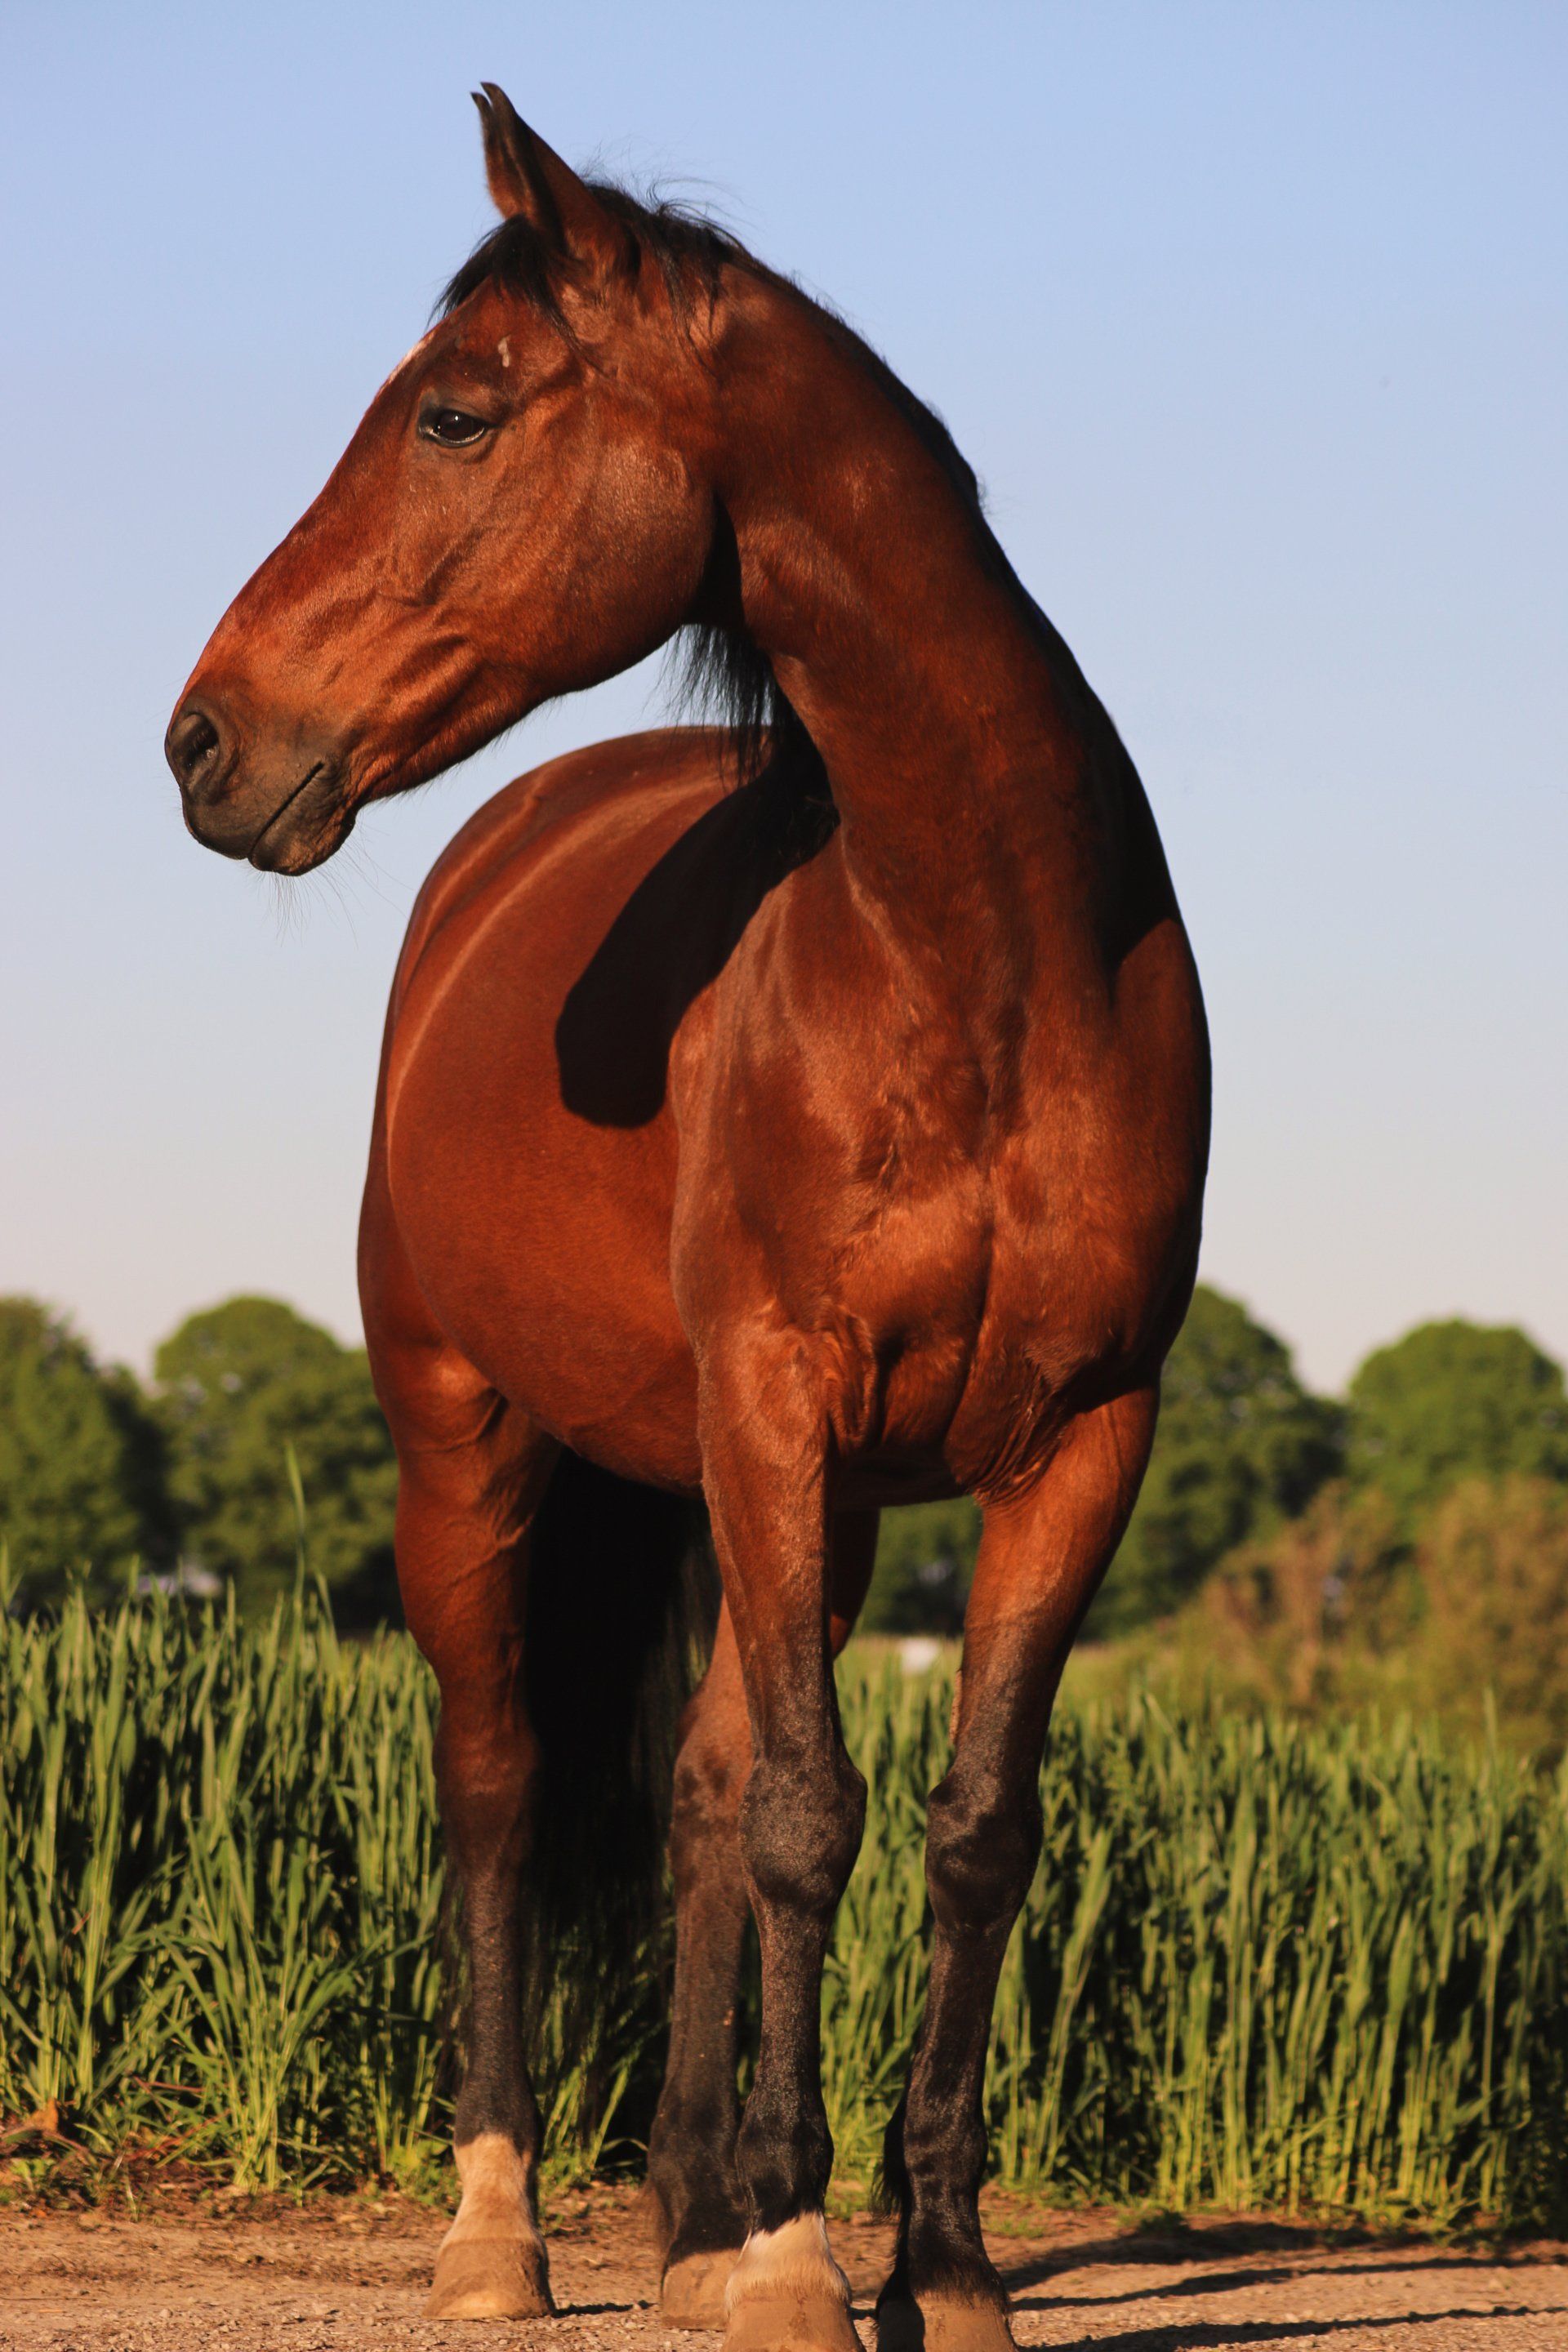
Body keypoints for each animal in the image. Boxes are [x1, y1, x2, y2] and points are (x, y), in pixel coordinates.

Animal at [167, 87, 1209, 2352]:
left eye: (457, 413)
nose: (203, 739)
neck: (982, 959)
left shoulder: (1078, 1435)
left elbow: (964, 1827)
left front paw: (935, 2263)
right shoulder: (773, 1396)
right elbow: (813, 1818)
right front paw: (815, 2258)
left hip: (772, 1497)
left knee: (700, 1788)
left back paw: (694, 2220)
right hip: (469, 1441)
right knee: (500, 1786)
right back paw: (507, 2229)